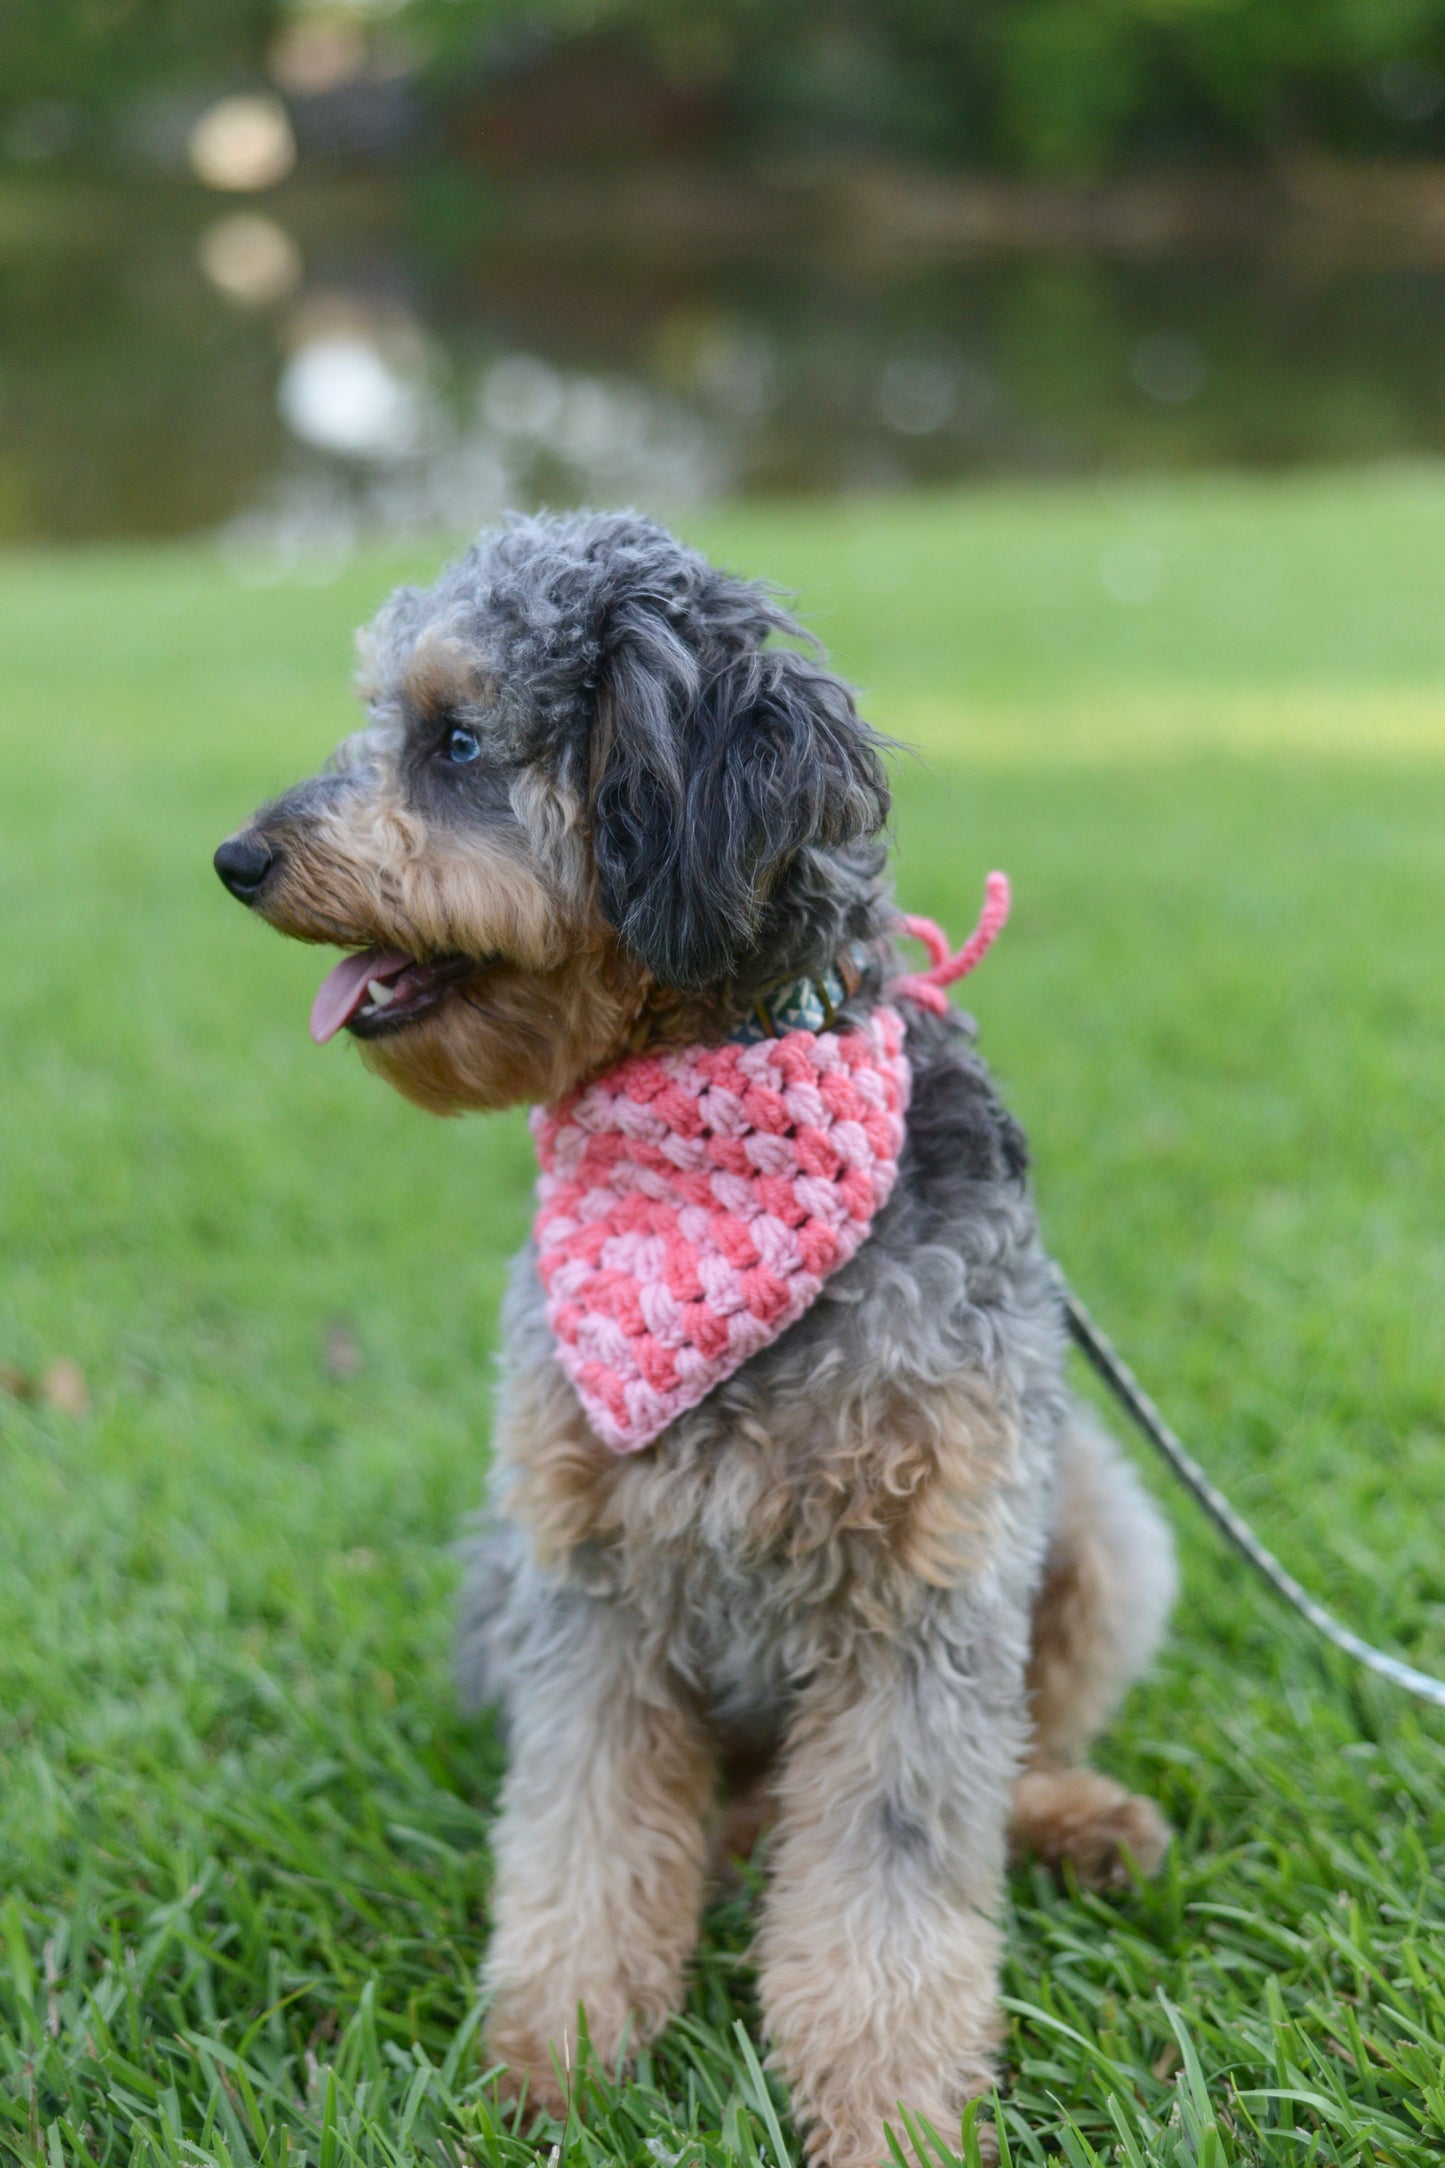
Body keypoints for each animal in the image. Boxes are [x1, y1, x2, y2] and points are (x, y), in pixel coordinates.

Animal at [220, 511, 1178, 2168]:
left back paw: (1068, 1820)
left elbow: (892, 1889)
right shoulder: (591, 1591)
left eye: (453, 738)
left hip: (1098, 1518)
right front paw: (555, 2072)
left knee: (1014, 1750)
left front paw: (890, 2116)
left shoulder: (924, 1591)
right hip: (505, 1568)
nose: (237, 857)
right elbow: (581, 1854)